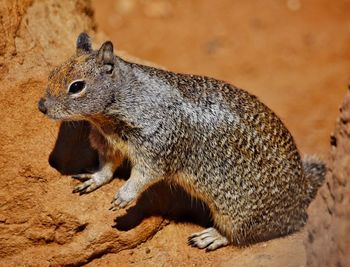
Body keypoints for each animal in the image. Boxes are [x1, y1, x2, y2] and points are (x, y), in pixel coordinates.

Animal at [38, 33, 326, 251]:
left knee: (239, 234)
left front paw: (124, 195)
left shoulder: (157, 149)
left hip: (235, 213)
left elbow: (143, 176)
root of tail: (302, 193)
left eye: (76, 86)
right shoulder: (109, 143)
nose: (41, 106)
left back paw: (211, 236)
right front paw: (95, 179)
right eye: (52, 73)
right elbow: (107, 167)